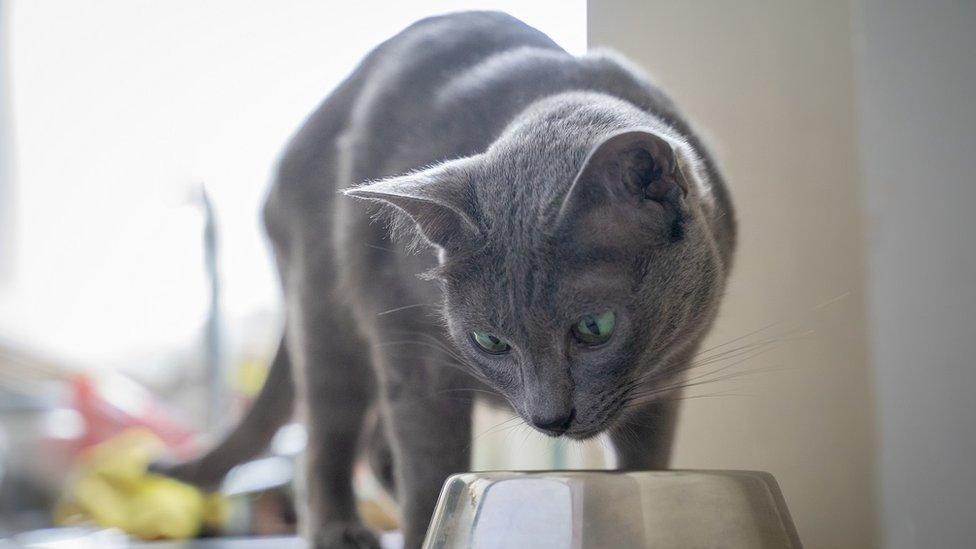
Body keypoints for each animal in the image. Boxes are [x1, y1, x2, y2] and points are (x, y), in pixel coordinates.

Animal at [160, 10, 736, 544]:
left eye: (595, 328)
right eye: (490, 341)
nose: (550, 418)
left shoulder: (663, 377)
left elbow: (644, 461)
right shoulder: (414, 353)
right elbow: (429, 469)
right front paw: (427, 526)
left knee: (372, 446)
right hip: (326, 310)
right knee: (327, 435)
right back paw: (341, 529)